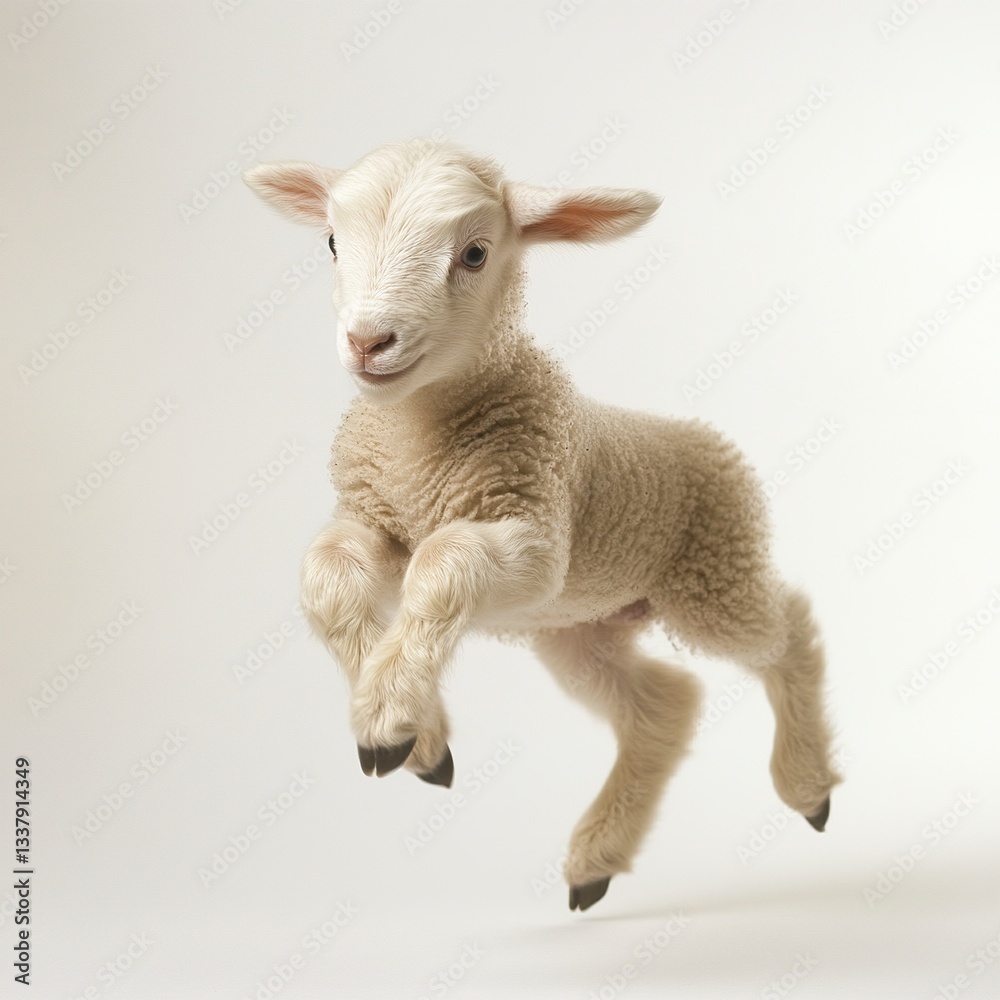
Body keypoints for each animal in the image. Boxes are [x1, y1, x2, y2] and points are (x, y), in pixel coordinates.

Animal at [244, 138, 841, 912]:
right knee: (664, 704)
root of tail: (706, 438)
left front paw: (390, 718)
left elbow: (443, 561)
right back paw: (597, 860)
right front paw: (416, 733)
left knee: (788, 629)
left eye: (474, 253)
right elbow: (325, 576)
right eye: (331, 242)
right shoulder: (374, 521)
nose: (369, 341)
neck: (416, 447)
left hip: (711, 574)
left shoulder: (534, 535)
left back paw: (808, 786)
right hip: (579, 630)